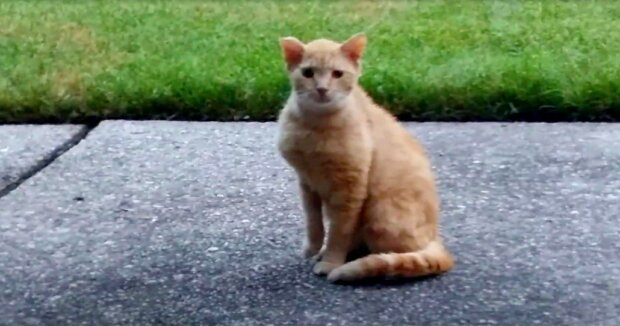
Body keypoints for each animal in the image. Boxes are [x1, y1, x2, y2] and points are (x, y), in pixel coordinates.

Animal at [276, 33, 456, 282]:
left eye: (337, 74)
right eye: (308, 73)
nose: (322, 89)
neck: (314, 127)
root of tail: (435, 237)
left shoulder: (350, 188)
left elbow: (339, 232)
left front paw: (332, 262)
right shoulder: (307, 182)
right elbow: (314, 223)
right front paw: (313, 247)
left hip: (380, 215)